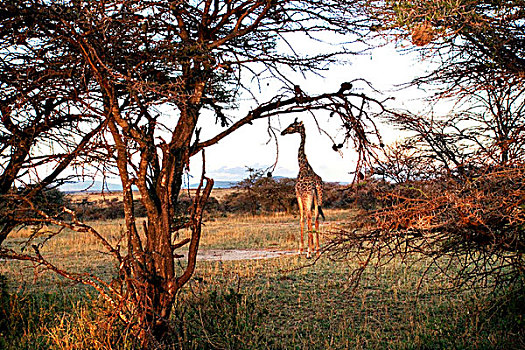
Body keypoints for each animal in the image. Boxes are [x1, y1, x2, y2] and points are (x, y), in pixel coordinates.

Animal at [280, 117, 322, 258]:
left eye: (292, 126)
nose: (282, 132)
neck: (303, 165)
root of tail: (315, 185)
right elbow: (308, 218)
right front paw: (311, 249)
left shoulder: (298, 194)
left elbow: (301, 218)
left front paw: (302, 250)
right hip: (319, 198)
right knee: (316, 218)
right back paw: (318, 251)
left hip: (307, 196)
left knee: (308, 217)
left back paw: (309, 252)